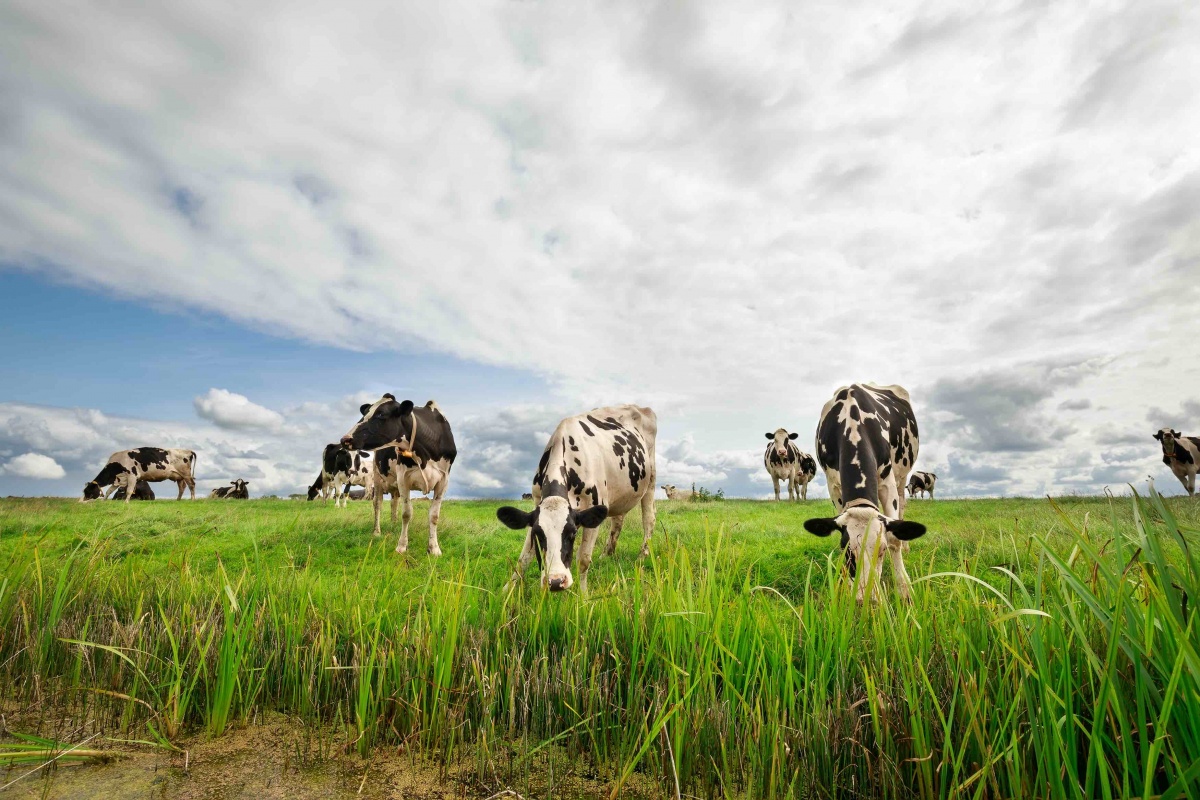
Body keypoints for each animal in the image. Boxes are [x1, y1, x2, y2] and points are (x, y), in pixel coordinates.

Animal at [340, 395, 456, 556]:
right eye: (366, 412)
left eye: (381, 414)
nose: (345, 439)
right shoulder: (403, 479)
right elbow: (406, 513)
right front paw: (402, 546)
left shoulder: (443, 481)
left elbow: (434, 515)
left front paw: (434, 548)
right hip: (377, 477)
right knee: (377, 504)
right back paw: (377, 532)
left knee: (394, 504)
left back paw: (394, 525)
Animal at [492, 407, 657, 594]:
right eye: (539, 534)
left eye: (572, 533)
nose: (556, 581)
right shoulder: (535, 508)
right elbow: (524, 558)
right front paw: (506, 591)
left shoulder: (595, 509)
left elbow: (583, 560)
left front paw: (584, 596)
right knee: (617, 520)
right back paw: (606, 554)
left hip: (650, 479)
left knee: (649, 519)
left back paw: (642, 556)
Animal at [806, 383, 926, 604]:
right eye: (846, 549)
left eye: (882, 550)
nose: (865, 600)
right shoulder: (833, 486)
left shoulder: (887, 482)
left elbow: (894, 538)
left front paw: (904, 590)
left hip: (903, 476)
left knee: (902, 508)